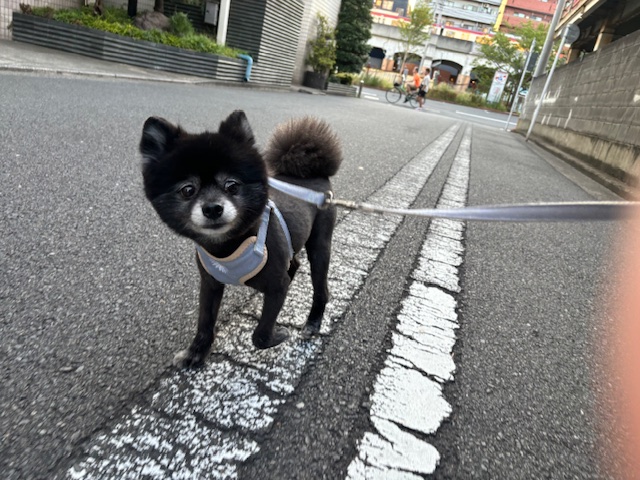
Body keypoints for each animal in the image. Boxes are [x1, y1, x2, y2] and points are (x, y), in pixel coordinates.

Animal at [138, 111, 342, 368]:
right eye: (187, 190)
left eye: (232, 185)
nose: (212, 208)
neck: (227, 247)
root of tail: (316, 176)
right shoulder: (211, 283)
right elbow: (205, 323)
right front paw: (196, 353)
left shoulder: (277, 287)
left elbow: (260, 335)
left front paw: (280, 333)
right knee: (294, 263)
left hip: (320, 245)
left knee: (321, 288)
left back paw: (313, 323)